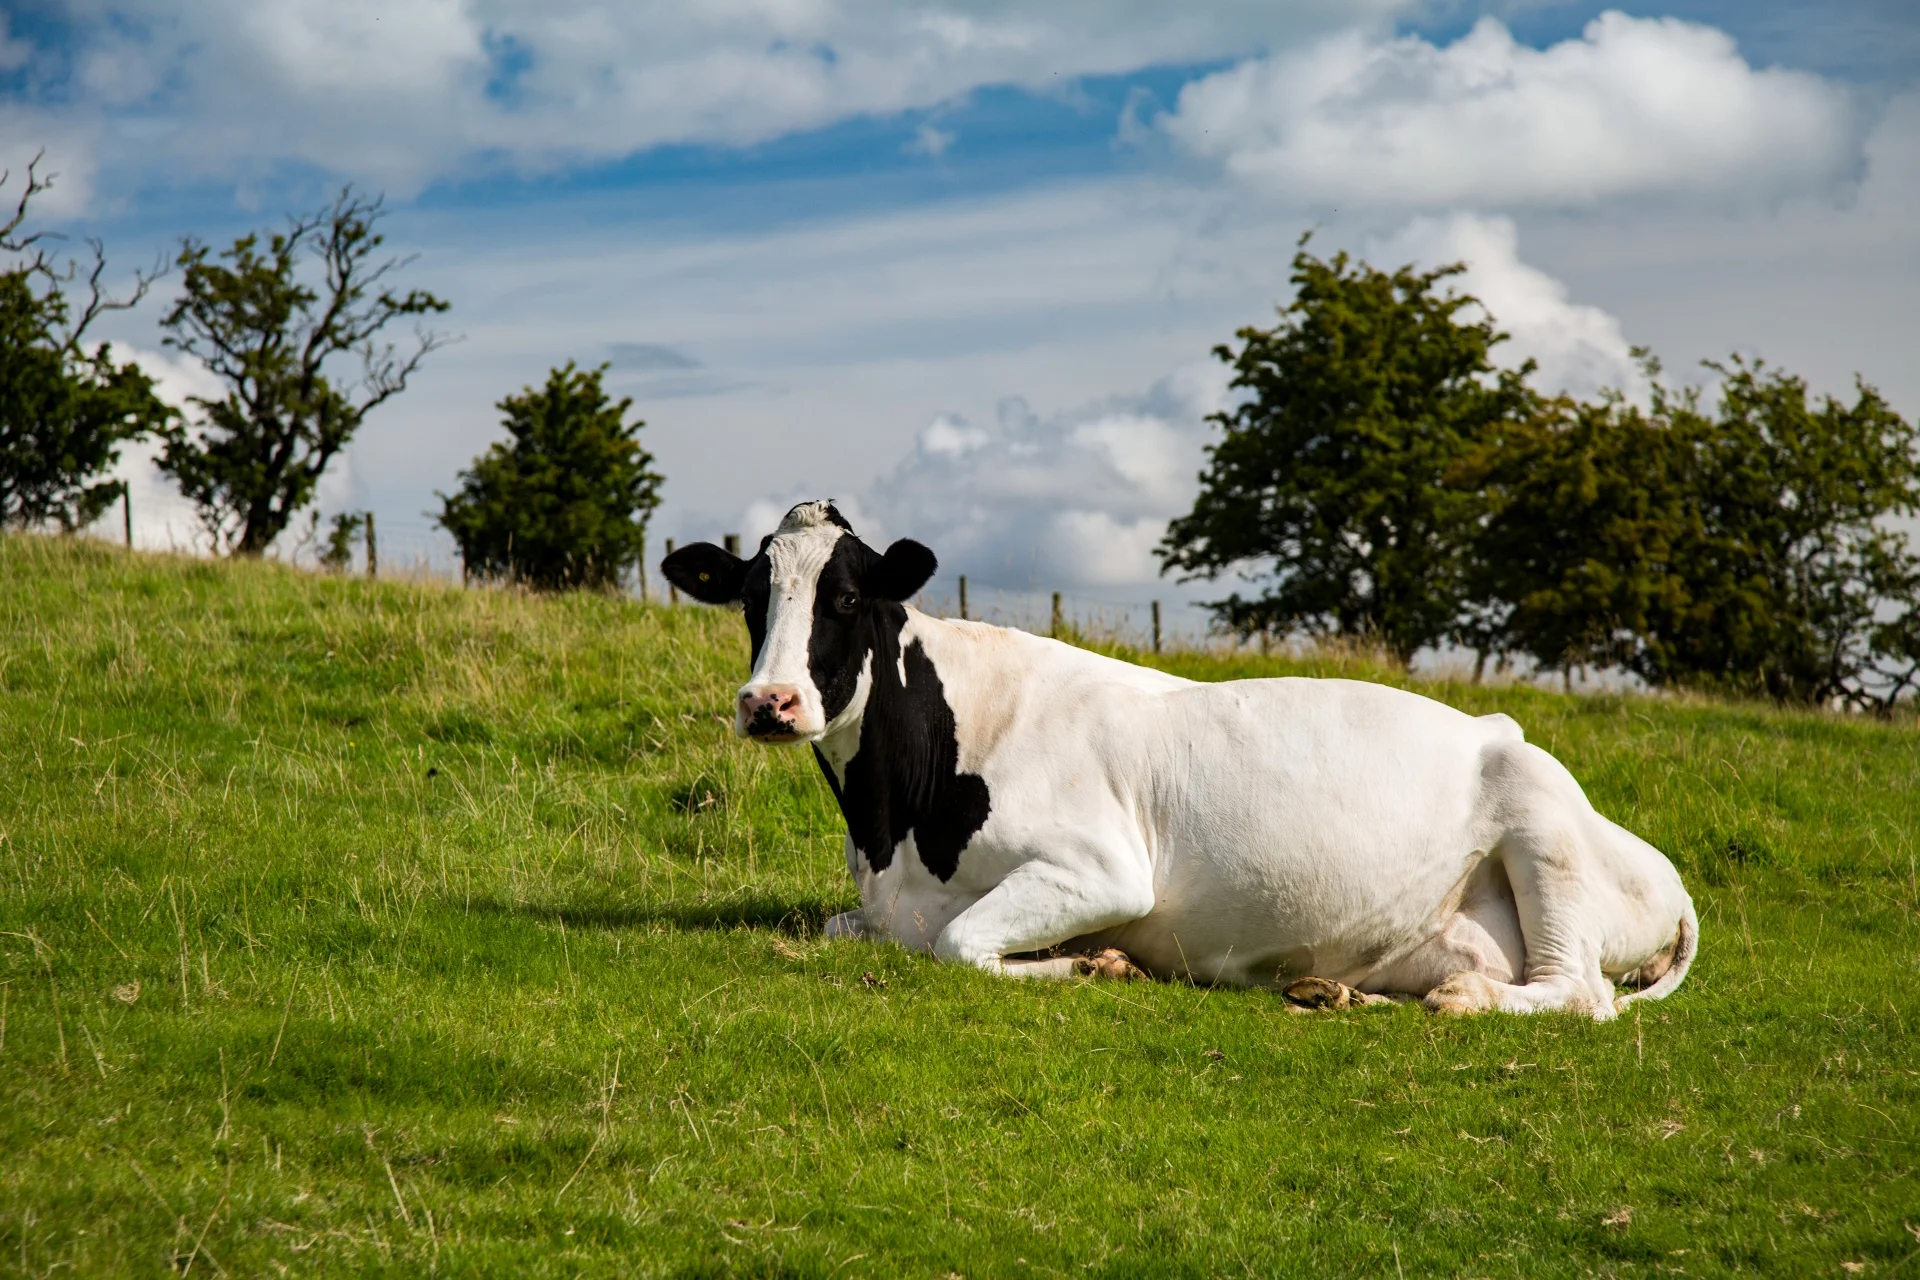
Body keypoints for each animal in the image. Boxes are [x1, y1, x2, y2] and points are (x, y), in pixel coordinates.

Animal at [660, 500, 1697, 1019]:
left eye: (843, 598)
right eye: (751, 597)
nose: (769, 703)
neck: (894, 829)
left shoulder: (1105, 869)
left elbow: (961, 945)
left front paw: (1092, 965)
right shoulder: (879, 904)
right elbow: (848, 929)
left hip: (1543, 823)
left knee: (1579, 994)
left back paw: (1466, 1000)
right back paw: (1333, 989)